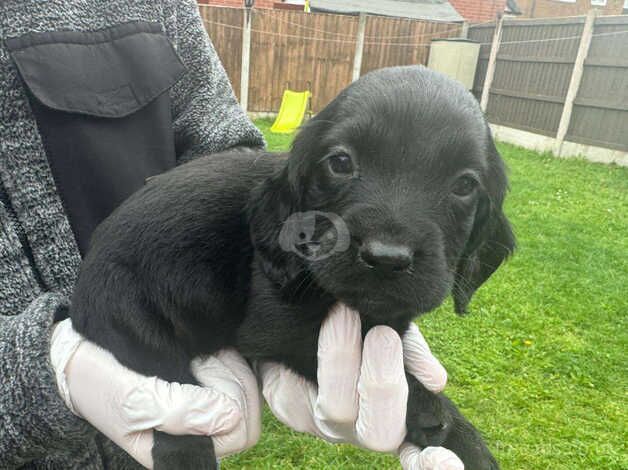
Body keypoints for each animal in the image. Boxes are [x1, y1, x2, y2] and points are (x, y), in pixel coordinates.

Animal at [72, 67, 516, 470]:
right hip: (137, 325)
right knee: (174, 417)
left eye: (465, 185)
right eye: (340, 162)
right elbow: (399, 378)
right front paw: (437, 416)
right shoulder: (284, 330)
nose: (386, 258)